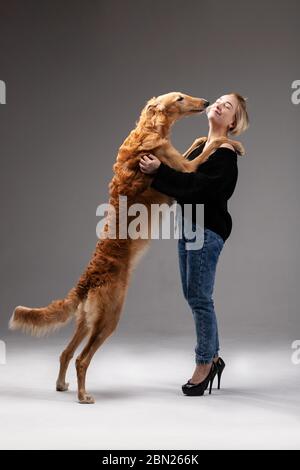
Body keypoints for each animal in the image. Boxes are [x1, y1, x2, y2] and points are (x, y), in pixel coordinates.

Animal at [8, 92, 244, 404]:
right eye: (180, 98)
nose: (206, 102)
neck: (149, 129)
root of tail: (87, 278)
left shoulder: (179, 162)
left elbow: (197, 145)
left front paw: (206, 137)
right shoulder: (186, 168)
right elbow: (210, 149)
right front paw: (233, 144)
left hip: (87, 320)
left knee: (65, 353)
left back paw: (62, 386)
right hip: (109, 319)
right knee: (81, 359)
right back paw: (84, 396)